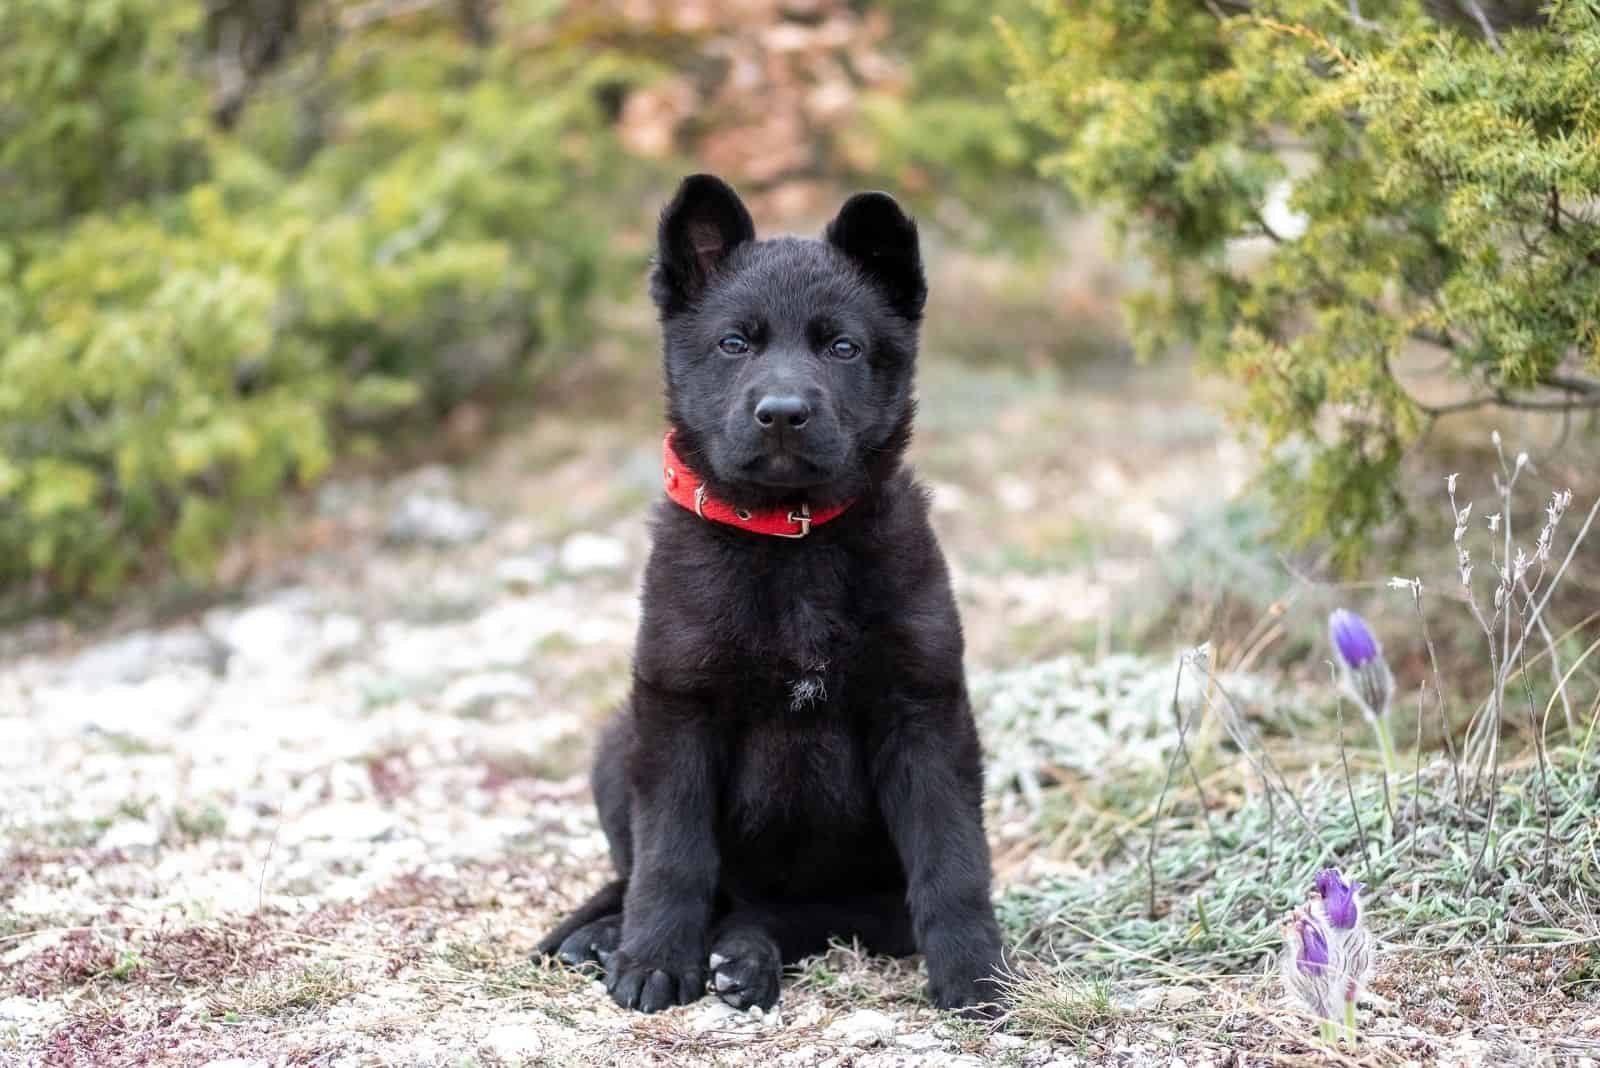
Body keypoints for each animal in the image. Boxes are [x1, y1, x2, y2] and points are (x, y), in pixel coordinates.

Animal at [540, 175, 1011, 1016]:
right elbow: (672, 857)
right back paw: (604, 933)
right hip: (619, 740)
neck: (792, 540)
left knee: (794, 914)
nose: (784, 413)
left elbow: (952, 859)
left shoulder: (923, 713)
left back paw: (744, 956)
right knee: (649, 875)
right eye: (735, 344)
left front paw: (972, 974)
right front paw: (653, 959)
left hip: (857, 892)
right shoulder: (678, 709)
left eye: (842, 347)